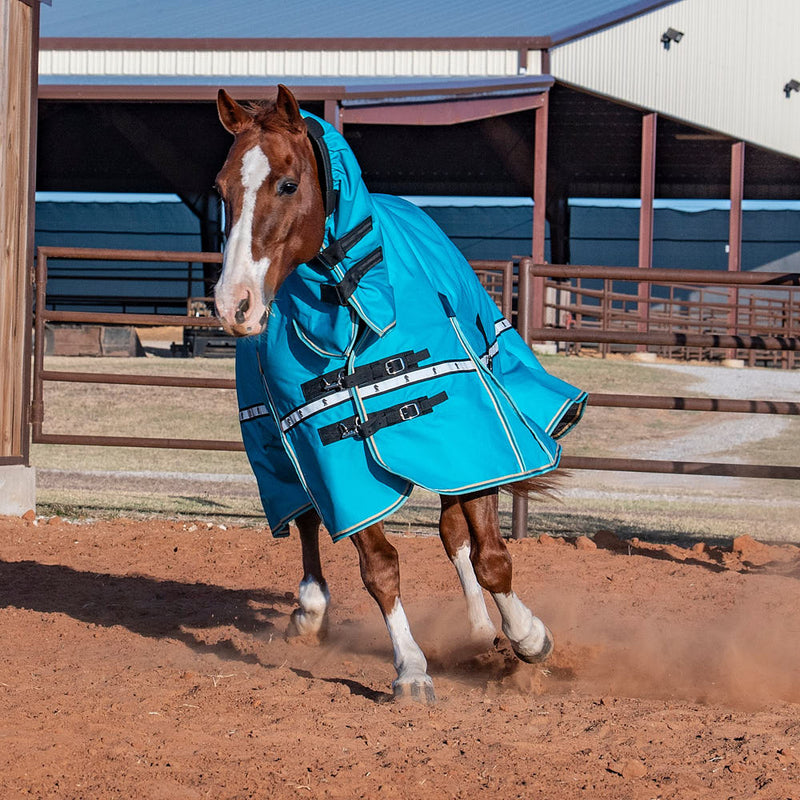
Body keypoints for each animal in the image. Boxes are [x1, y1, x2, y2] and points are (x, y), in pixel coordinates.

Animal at [213, 85, 586, 703]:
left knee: (455, 534)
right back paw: (312, 610)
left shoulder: (471, 438)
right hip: (279, 443)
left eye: (287, 184)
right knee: (308, 521)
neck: (350, 306)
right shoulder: (326, 445)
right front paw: (410, 668)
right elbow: (379, 566)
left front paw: (529, 637)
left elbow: (490, 556)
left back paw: (481, 628)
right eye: (222, 190)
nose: (233, 303)